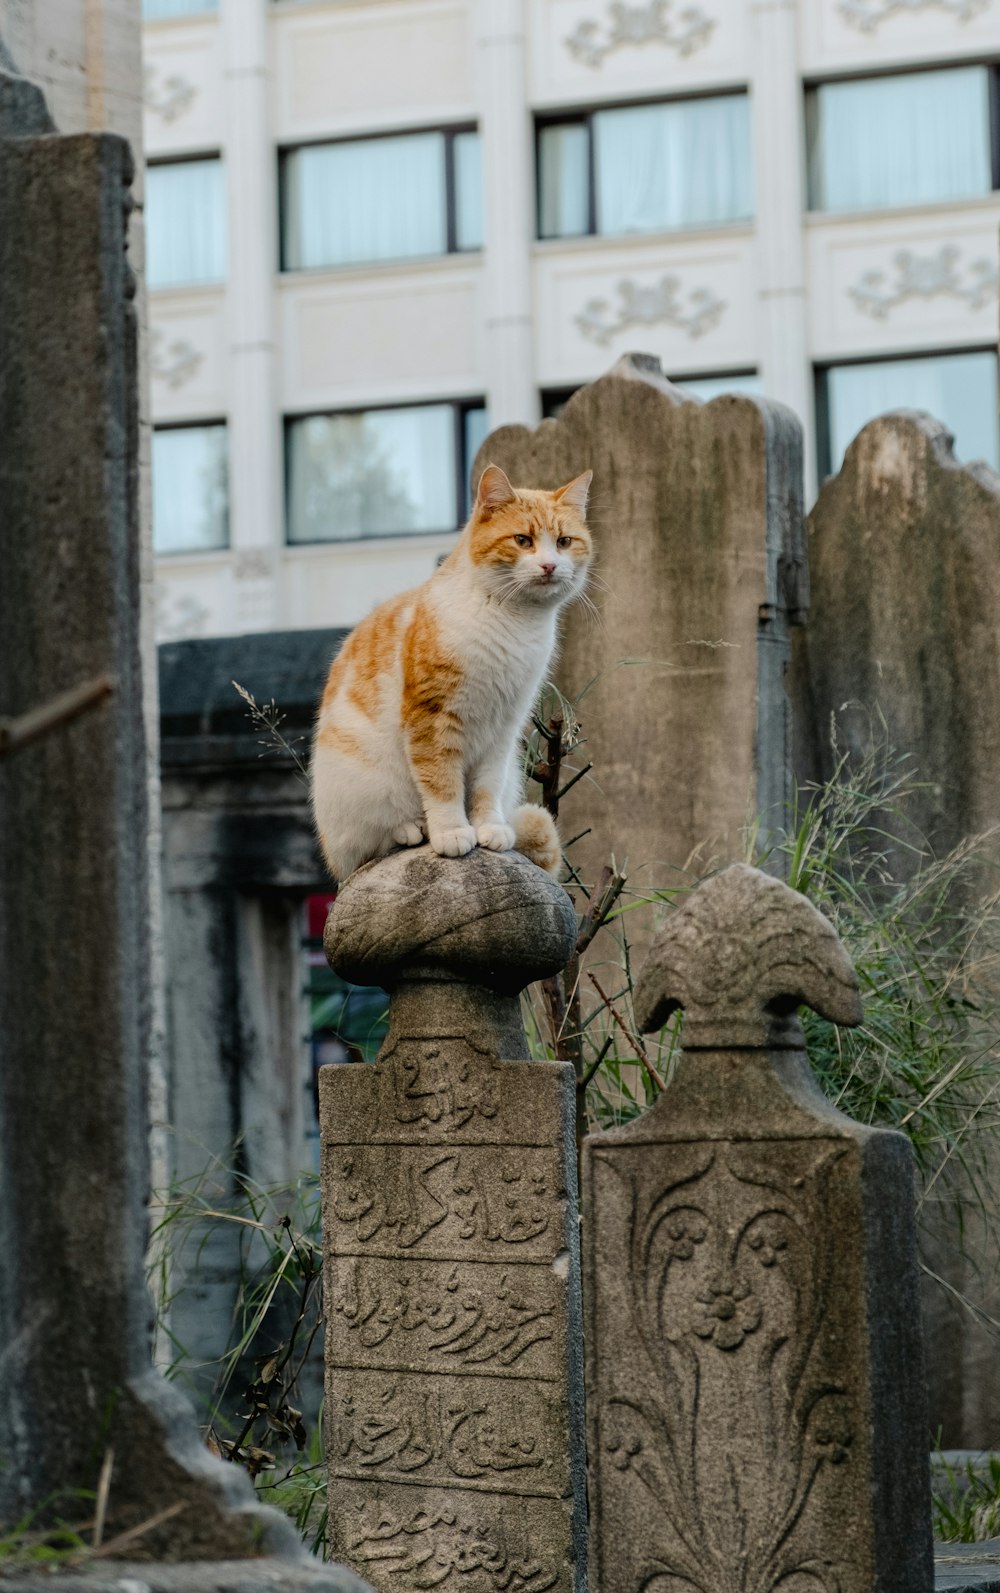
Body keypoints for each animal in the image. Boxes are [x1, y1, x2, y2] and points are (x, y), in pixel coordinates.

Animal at [312, 461, 592, 885]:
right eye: (523, 540)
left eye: (564, 542)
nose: (549, 565)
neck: (511, 622)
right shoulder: (431, 719)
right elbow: (441, 783)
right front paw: (453, 832)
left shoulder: (504, 728)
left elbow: (486, 787)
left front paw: (489, 827)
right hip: (357, 788)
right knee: (369, 842)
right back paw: (413, 829)